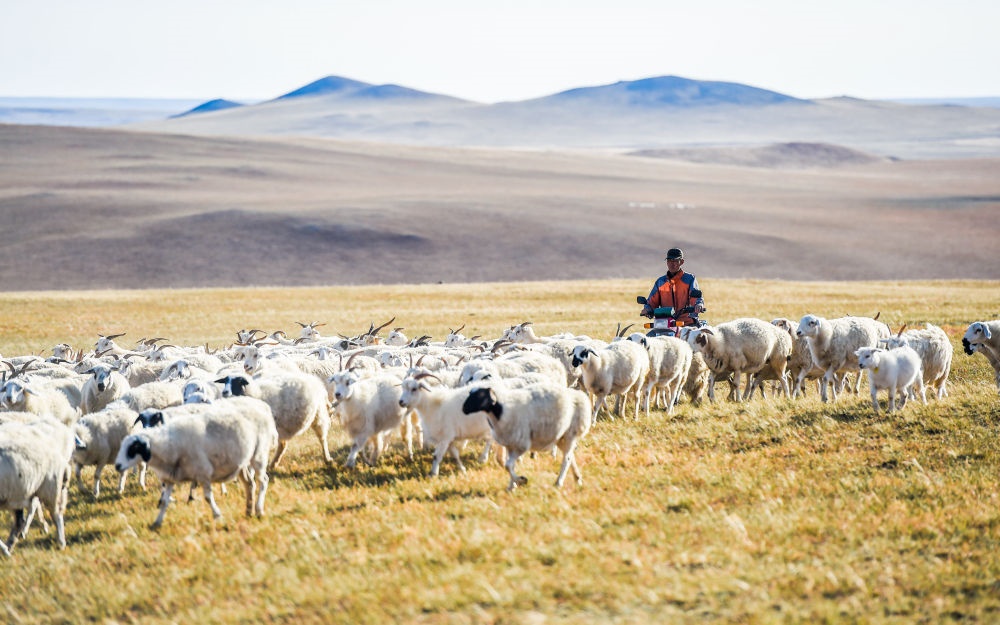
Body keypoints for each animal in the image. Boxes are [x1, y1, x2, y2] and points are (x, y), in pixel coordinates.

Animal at [0, 415, 76, 555]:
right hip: (18, 494)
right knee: (19, 522)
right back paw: (10, 545)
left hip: (50, 489)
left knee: (56, 515)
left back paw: (61, 543)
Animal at [114, 396, 277, 529]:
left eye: (134, 448)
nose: (117, 466)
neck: (168, 444)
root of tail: (263, 409)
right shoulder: (170, 477)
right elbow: (165, 501)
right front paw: (157, 522)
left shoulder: (203, 472)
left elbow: (207, 497)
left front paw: (217, 514)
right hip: (241, 463)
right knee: (250, 484)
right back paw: (249, 511)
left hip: (259, 455)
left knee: (263, 481)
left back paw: (259, 510)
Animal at [461, 383, 591, 491]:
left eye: (480, 395)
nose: (463, 409)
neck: (501, 412)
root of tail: (578, 395)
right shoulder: (510, 444)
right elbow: (510, 466)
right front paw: (512, 486)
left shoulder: (521, 445)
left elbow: (508, 465)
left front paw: (521, 480)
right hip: (561, 436)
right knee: (570, 455)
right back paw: (577, 479)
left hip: (570, 433)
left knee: (567, 458)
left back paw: (559, 482)